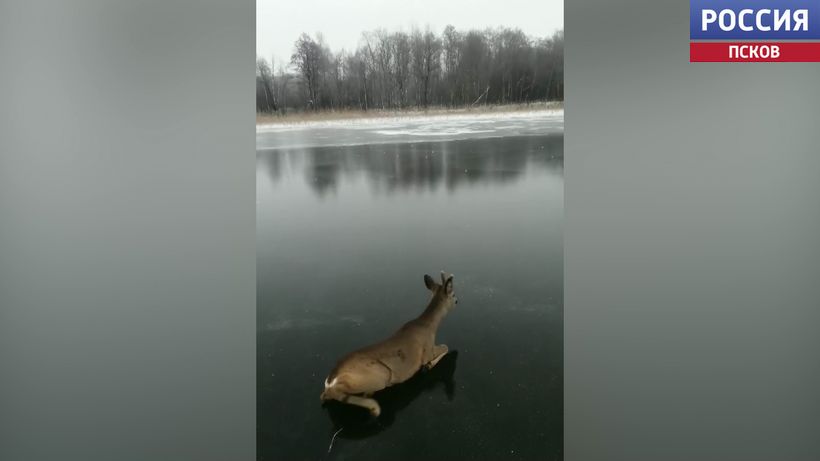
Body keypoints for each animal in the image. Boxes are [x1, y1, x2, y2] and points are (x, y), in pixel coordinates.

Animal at [320, 272, 458, 416]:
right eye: (453, 294)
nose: (457, 301)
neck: (429, 326)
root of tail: (330, 380)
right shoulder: (428, 351)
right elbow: (445, 347)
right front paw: (429, 366)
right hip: (382, 374)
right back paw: (374, 407)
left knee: (324, 395)